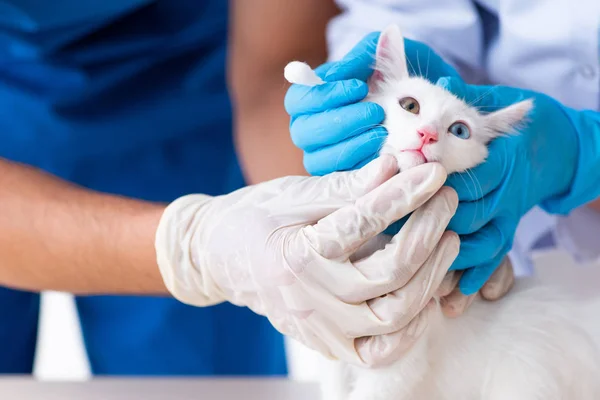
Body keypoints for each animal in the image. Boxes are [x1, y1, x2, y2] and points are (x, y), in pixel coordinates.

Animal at [284, 25, 600, 400]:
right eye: (410, 105)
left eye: (459, 131)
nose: (428, 134)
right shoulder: (335, 341)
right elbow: (335, 384)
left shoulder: (399, 361)